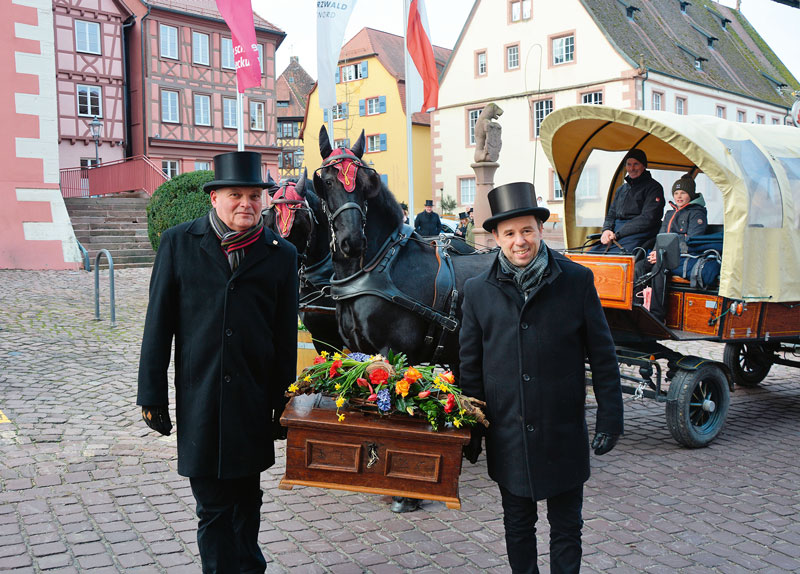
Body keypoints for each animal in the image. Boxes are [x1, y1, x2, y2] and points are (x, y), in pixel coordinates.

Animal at [310, 126, 494, 372]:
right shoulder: (358, 351)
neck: (377, 266)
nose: (353, 240)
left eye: (364, 184)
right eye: (328, 182)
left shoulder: (395, 352)